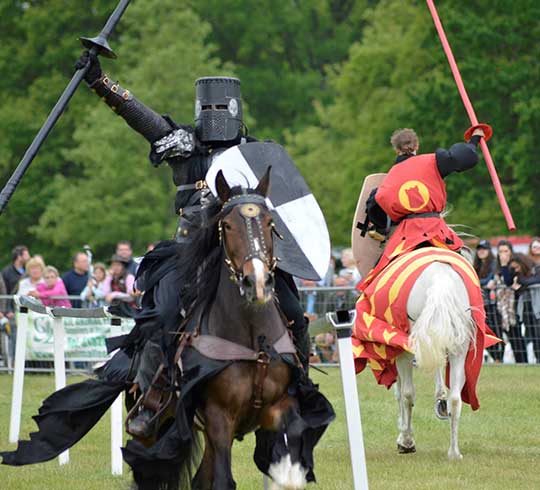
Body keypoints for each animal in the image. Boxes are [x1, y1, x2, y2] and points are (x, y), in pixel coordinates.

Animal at [394, 262, 474, 462]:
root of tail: (441, 282)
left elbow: (400, 393)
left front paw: (404, 439)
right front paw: (441, 397)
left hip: (407, 348)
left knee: (407, 394)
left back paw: (407, 440)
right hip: (460, 347)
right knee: (455, 399)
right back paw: (454, 452)